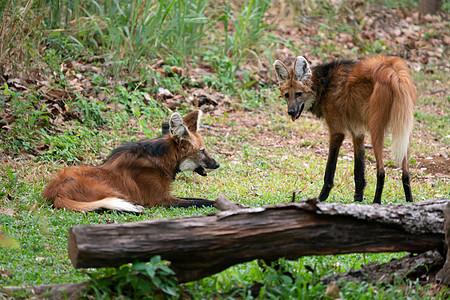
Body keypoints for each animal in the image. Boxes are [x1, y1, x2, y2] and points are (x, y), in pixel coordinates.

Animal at [42, 110, 220, 213]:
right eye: (202, 151)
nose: (217, 164)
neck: (160, 160)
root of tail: (55, 191)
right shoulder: (161, 200)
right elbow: (200, 201)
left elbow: (198, 200)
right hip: (111, 191)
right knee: (105, 206)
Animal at [272, 55, 416, 204]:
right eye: (287, 95)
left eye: (299, 94)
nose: (291, 111)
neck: (324, 85)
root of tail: (391, 69)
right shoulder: (357, 131)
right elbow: (359, 170)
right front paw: (358, 199)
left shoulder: (337, 131)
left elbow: (330, 170)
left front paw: (320, 198)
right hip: (403, 127)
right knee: (406, 172)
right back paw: (410, 201)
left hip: (377, 128)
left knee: (381, 171)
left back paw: (376, 202)